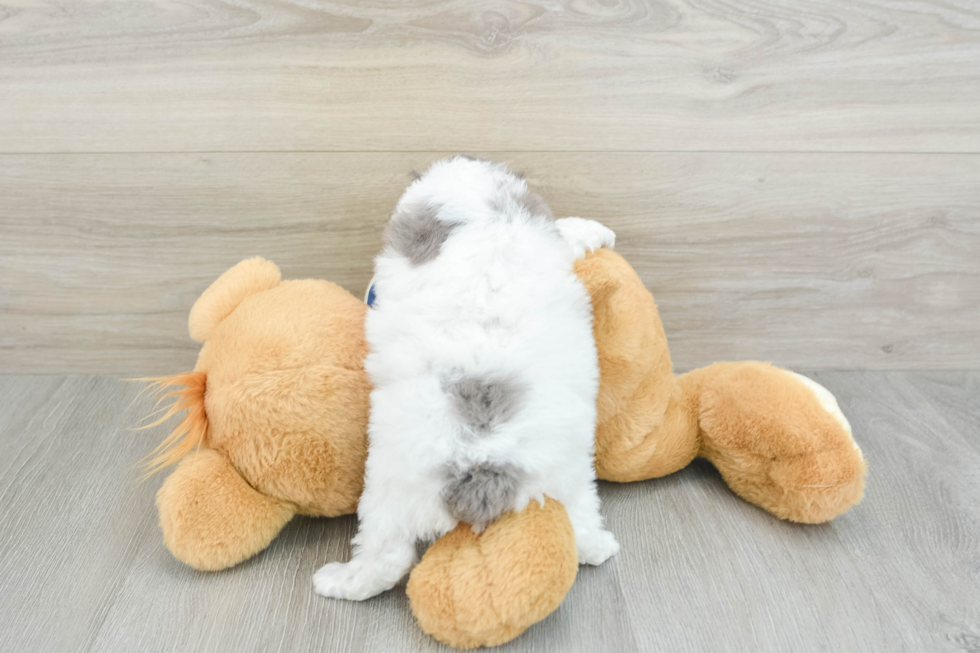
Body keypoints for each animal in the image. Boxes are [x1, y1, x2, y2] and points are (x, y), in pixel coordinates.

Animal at [314, 155, 620, 600]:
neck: (484, 220)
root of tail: (485, 465)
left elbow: (566, 230)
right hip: (568, 478)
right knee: (580, 524)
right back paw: (601, 548)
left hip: (386, 494)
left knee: (387, 559)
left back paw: (338, 581)